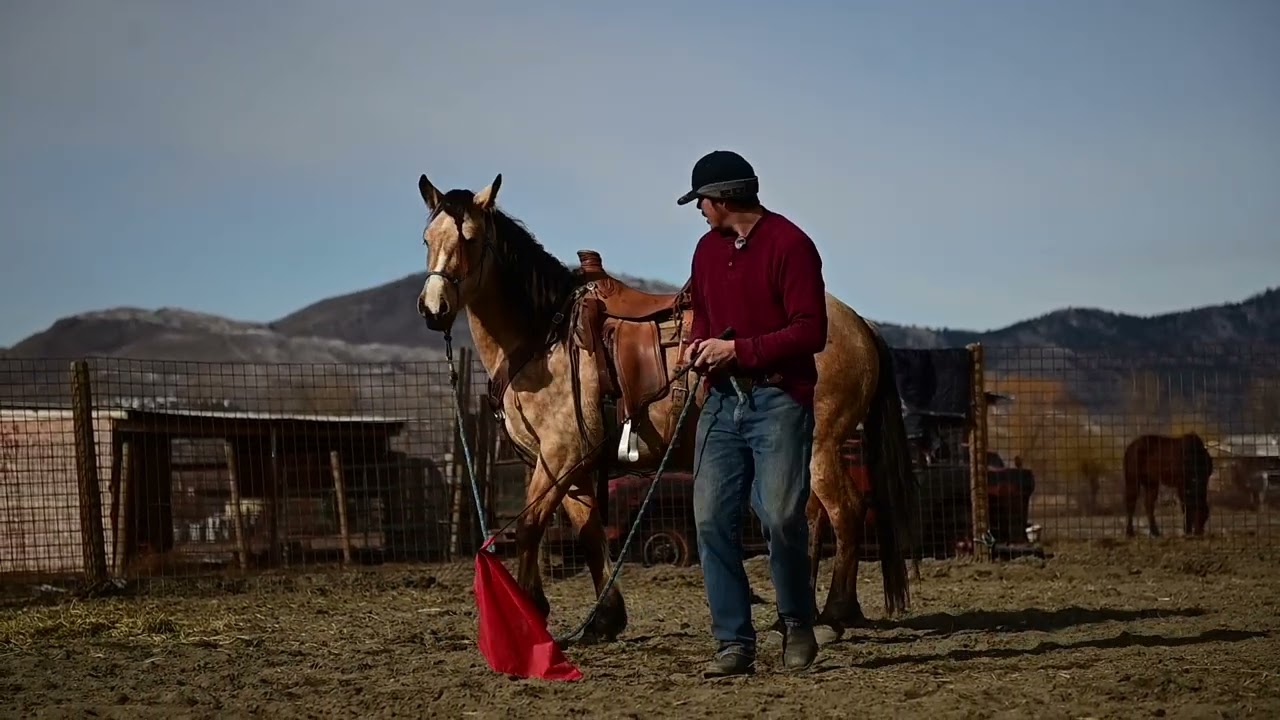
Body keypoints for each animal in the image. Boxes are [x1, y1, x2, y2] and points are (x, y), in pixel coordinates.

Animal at [413, 171, 918, 644]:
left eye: (470, 238)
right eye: (427, 239)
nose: (433, 309)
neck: (544, 337)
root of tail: (859, 324)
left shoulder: (561, 452)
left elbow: (533, 526)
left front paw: (530, 614)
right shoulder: (571, 464)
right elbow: (588, 530)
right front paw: (604, 619)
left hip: (822, 443)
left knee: (845, 512)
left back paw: (834, 614)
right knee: (810, 516)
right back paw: (799, 613)